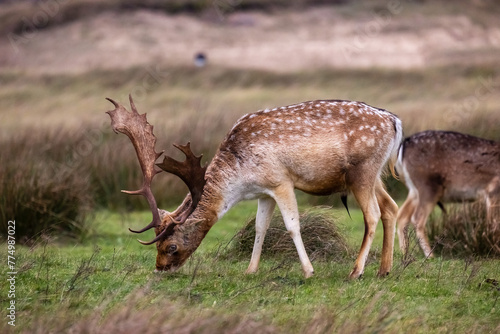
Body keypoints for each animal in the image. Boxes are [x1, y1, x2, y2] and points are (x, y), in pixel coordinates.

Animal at [107, 94, 404, 280]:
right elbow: (260, 227)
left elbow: (292, 225)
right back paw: (385, 270)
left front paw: (308, 271)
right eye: (157, 246)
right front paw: (250, 270)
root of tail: (394, 121)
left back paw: (356, 271)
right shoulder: (264, 192)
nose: (159, 268)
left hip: (362, 171)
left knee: (373, 214)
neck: (242, 178)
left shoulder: (281, 180)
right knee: (391, 207)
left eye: (171, 246)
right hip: (374, 175)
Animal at [394, 129, 500, 258]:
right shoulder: (493, 189)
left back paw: (405, 254)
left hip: (414, 190)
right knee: (417, 218)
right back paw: (430, 255)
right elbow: (494, 223)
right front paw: (496, 251)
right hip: (429, 186)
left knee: (402, 215)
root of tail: (403, 145)